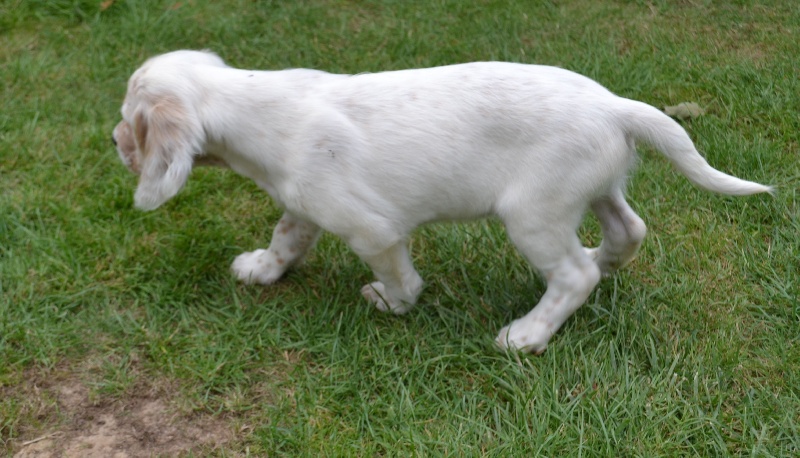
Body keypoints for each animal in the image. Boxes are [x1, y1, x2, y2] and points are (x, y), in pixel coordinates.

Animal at [112, 50, 771, 354]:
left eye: (128, 119)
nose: (113, 142)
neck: (256, 108)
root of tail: (614, 105)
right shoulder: (304, 205)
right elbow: (285, 239)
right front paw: (261, 270)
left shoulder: (372, 230)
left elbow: (399, 275)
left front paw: (393, 302)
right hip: (595, 189)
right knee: (628, 232)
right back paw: (603, 265)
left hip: (532, 215)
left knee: (572, 276)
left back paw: (528, 333)